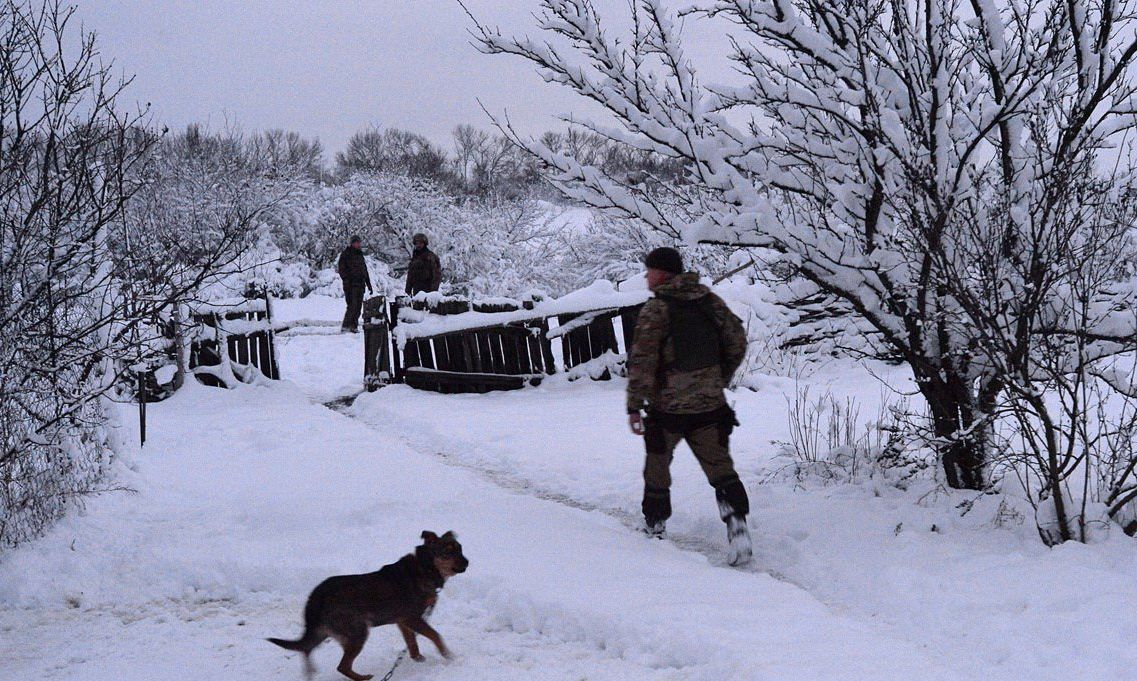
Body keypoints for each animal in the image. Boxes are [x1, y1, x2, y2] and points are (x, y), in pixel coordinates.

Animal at [268, 532, 468, 681]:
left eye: (460, 549)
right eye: (449, 552)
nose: (467, 562)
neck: (425, 567)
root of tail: (316, 596)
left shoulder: (403, 621)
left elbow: (412, 642)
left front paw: (418, 658)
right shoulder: (412, 618)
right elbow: (435, 635)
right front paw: (448, 655)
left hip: (324, 631)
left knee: (307, 649)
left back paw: (310, 672)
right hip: (357, 631)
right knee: (342, 666)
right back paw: (364, 677)